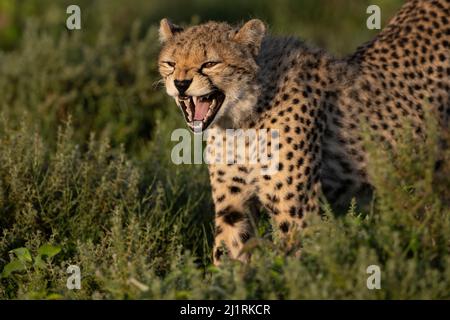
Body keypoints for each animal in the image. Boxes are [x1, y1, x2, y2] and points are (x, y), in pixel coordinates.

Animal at [159, 0, 450, 264]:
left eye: (210, 63)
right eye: (170, 63)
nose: (181, 83)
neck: (240, 119)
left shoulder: (296, 211)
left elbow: (293, 268)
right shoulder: (233, 204)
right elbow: (229, 255)